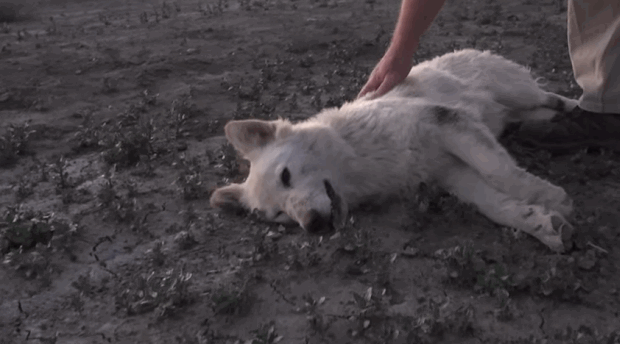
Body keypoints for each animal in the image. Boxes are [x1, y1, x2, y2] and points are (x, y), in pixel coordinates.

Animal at [211, 48, 580, 253]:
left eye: (286, 176)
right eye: (278, 216)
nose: (313, 226)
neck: (359, 153)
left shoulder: (445, 123)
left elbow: (500, 172)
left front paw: (549, 197)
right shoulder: (450, 173)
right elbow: (496, 205)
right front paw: (543, 225)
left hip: (517, 91)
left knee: (549, 96)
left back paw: (574, 108)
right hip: (512, 110)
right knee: (528, 114)